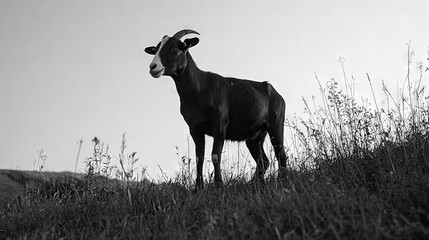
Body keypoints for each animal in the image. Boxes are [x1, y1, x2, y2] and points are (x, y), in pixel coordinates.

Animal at [145, 29, 288, 188]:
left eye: (175, 48)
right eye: (156, 49)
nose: (153, 67)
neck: (199, 89)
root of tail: (275, 93)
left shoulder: (219, 124)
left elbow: (215, 156)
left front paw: (219, 186)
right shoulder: (194, 128)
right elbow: (199, 158)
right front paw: (198, 188)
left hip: (275, 124)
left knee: (281, 155)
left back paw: (282, 182)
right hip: (255, 136)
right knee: (263, 160)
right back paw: (256, 184)